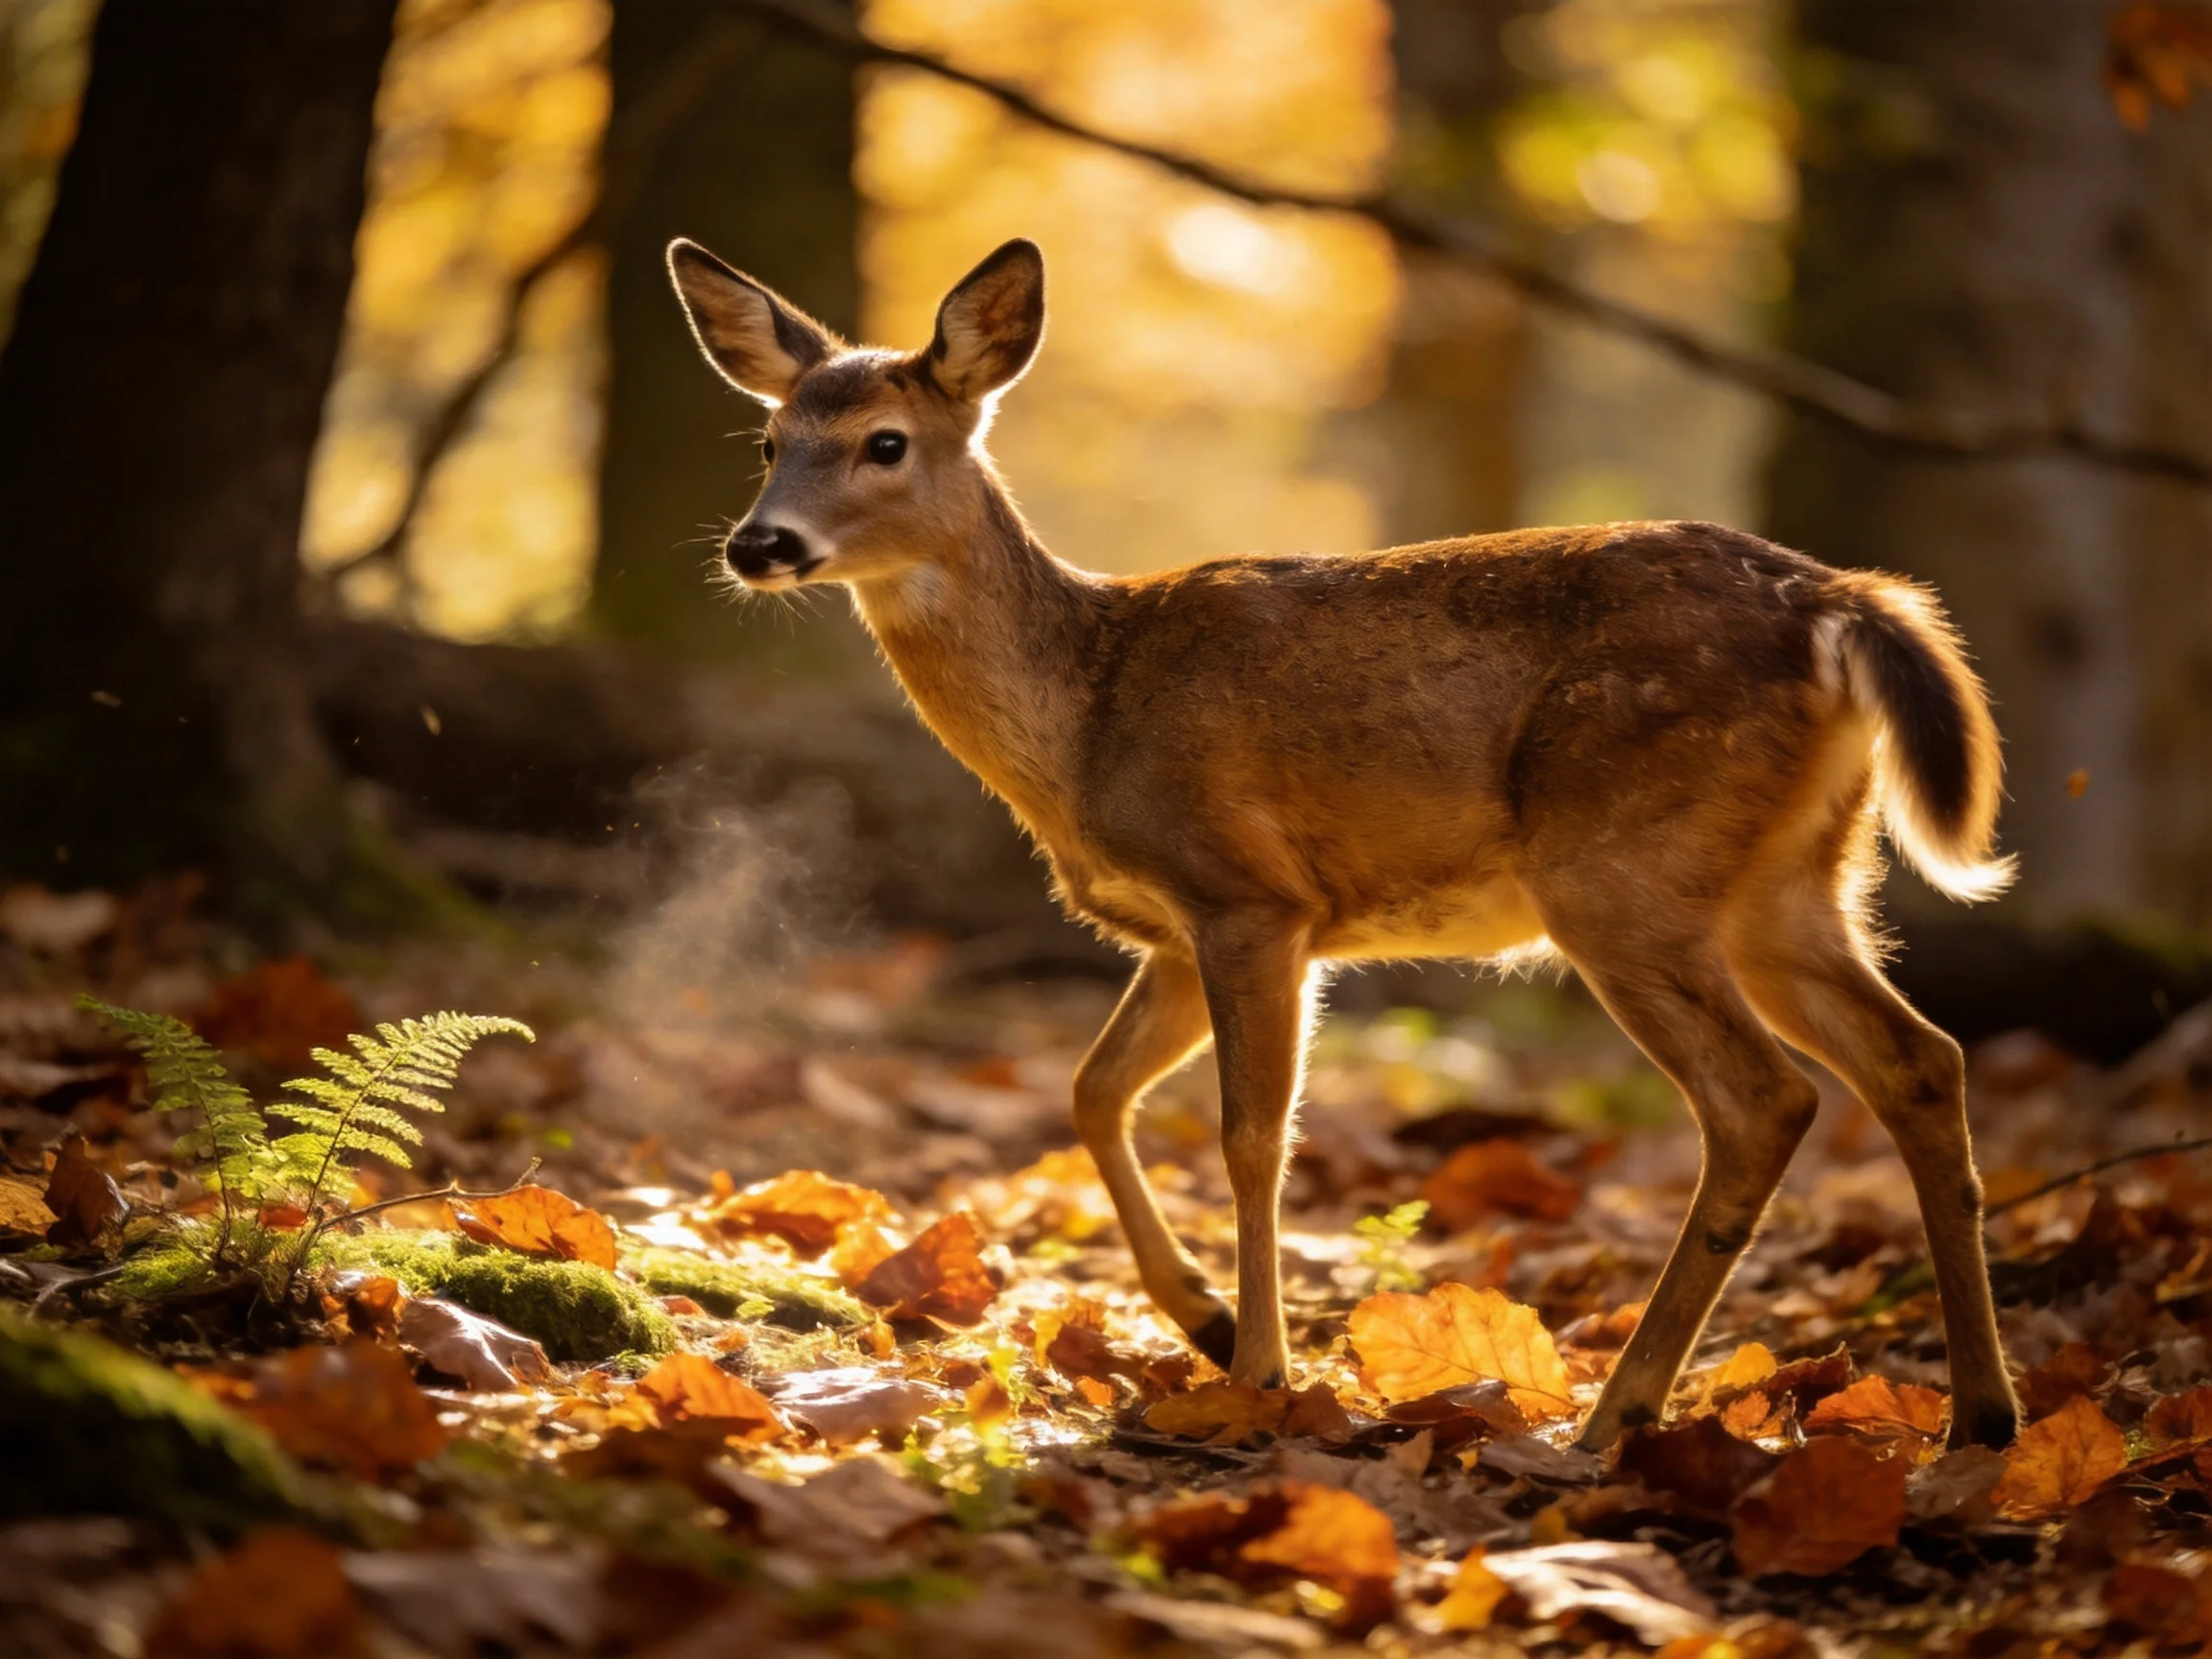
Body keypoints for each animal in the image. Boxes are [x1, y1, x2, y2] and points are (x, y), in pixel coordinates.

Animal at [666, 234, 2023, 1452]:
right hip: (1789, 881)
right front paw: (1204, 1320)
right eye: (769, 442)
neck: (1086, 711)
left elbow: (1254, 1137)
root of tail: (1840, 603)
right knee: (1919, 1059)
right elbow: (1093, 1089)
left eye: (885, 443)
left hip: (1621, 868)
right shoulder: (1179, 932)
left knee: (1764, 1099)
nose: (756, 543)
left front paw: (1259, 1373)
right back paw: (1981, 1417)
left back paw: (1617, 1415)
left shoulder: (1249, 896)